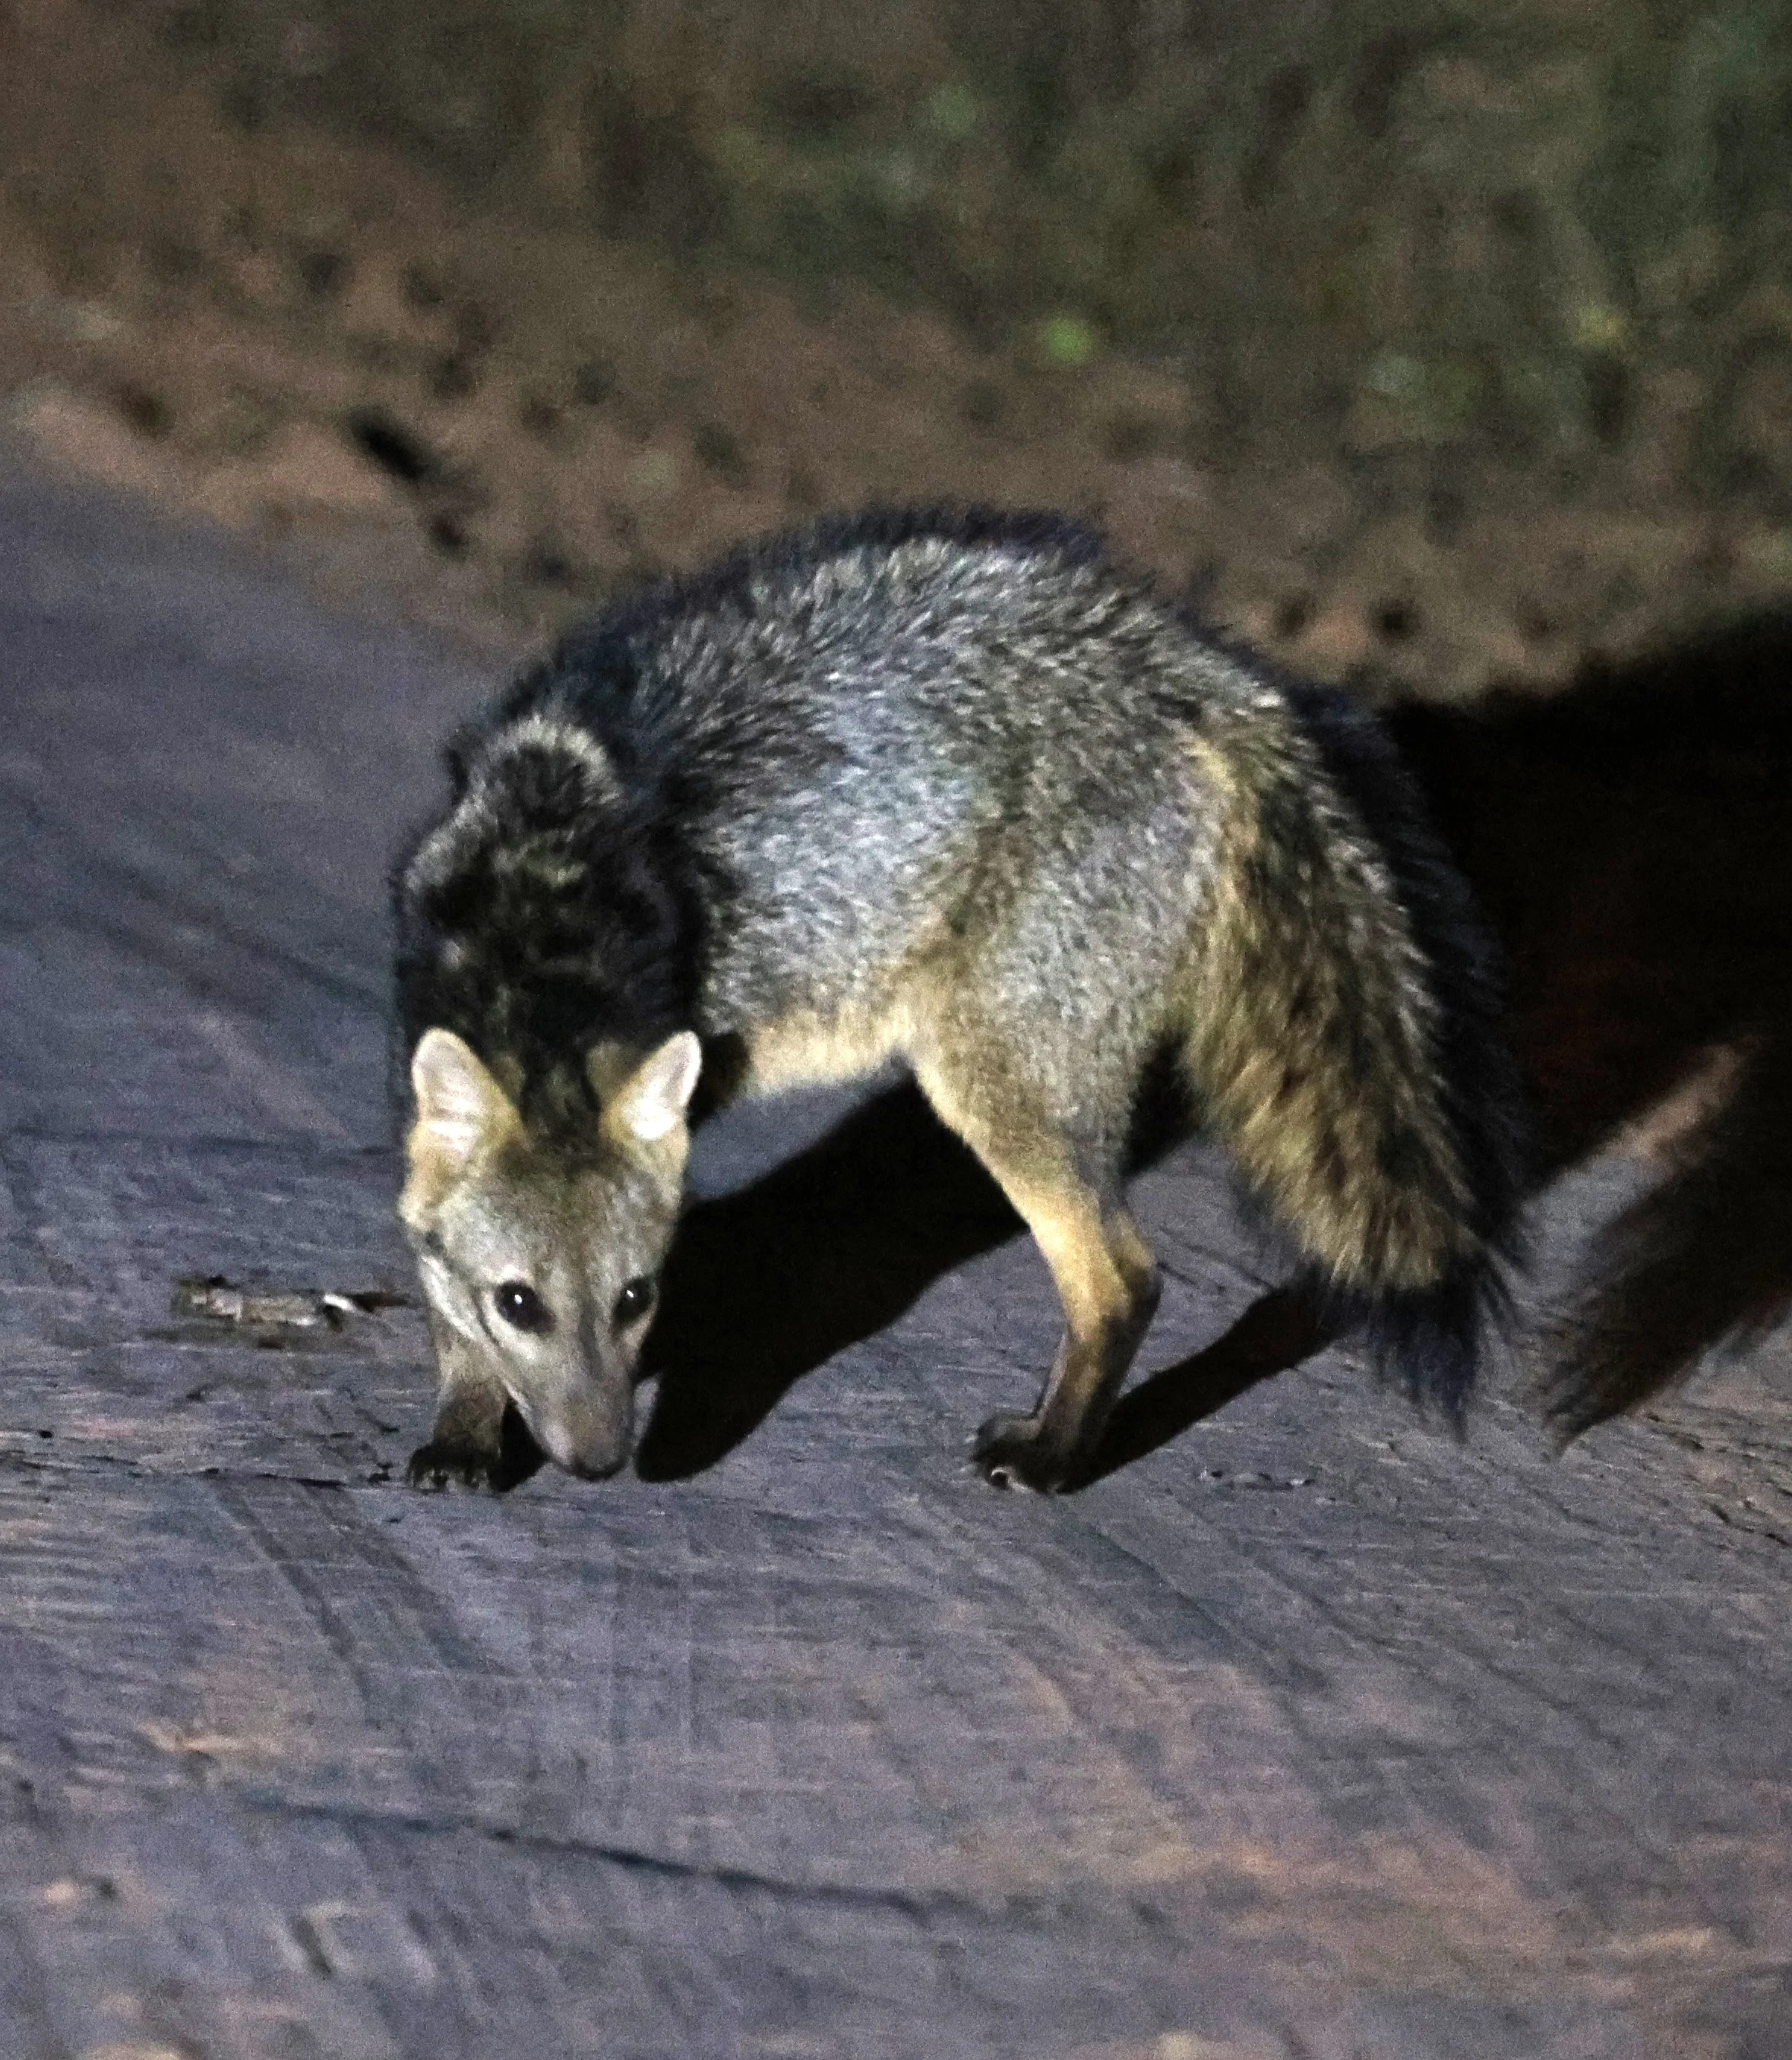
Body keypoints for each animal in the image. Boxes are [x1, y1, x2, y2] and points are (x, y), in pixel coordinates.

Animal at [393, 507, 1528, 1494]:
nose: (599, 1464)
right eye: (520, 1303)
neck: (545, 889)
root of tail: (1195, 671)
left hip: (993, 1091)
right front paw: (464, 1432)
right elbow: (443, 1299)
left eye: (636, 1298)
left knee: (1123, 1279)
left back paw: (1053, 1457)